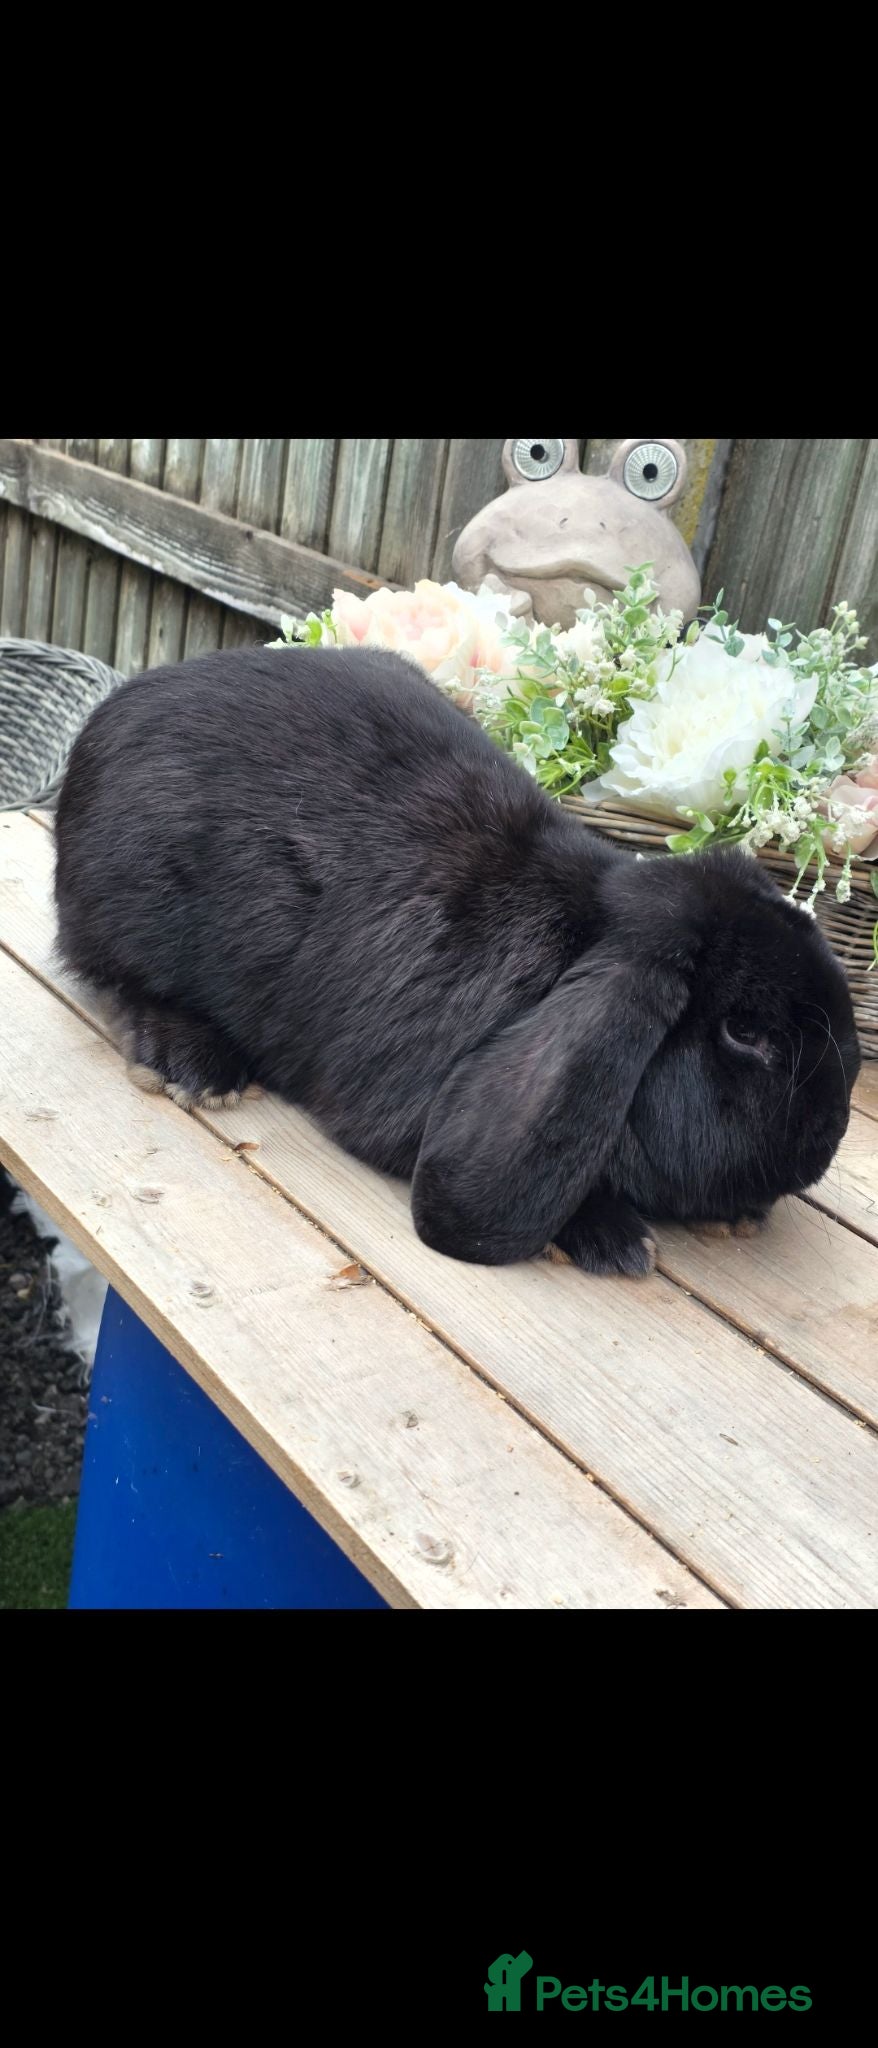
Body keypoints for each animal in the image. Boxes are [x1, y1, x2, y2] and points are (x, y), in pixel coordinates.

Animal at [53, 646, 861, 1277]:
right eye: (744, 1034)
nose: (825, 1143)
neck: (580, 939)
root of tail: (115, 713)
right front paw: (613, 1236)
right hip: (128, 901)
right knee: (112, 976)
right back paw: (192, 1064)